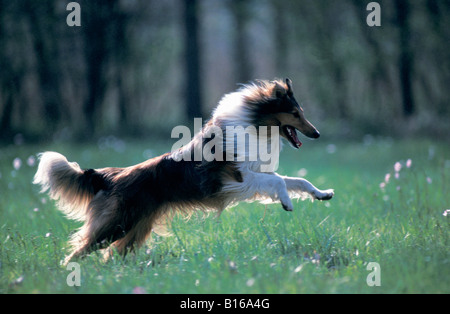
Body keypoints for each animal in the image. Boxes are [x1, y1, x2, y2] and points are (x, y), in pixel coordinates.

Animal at [33, 77, 332, 264]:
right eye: (295, 113)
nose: (317, 133)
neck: (254, 123)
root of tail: (112, 176)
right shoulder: (240, 177)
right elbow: (281, 181)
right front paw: (287, 203)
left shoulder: (252, 176)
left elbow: (298, 180)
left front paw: (322, 193)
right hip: (116, 225)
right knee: (78, 251)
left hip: (135, 229)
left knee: (110, 256)